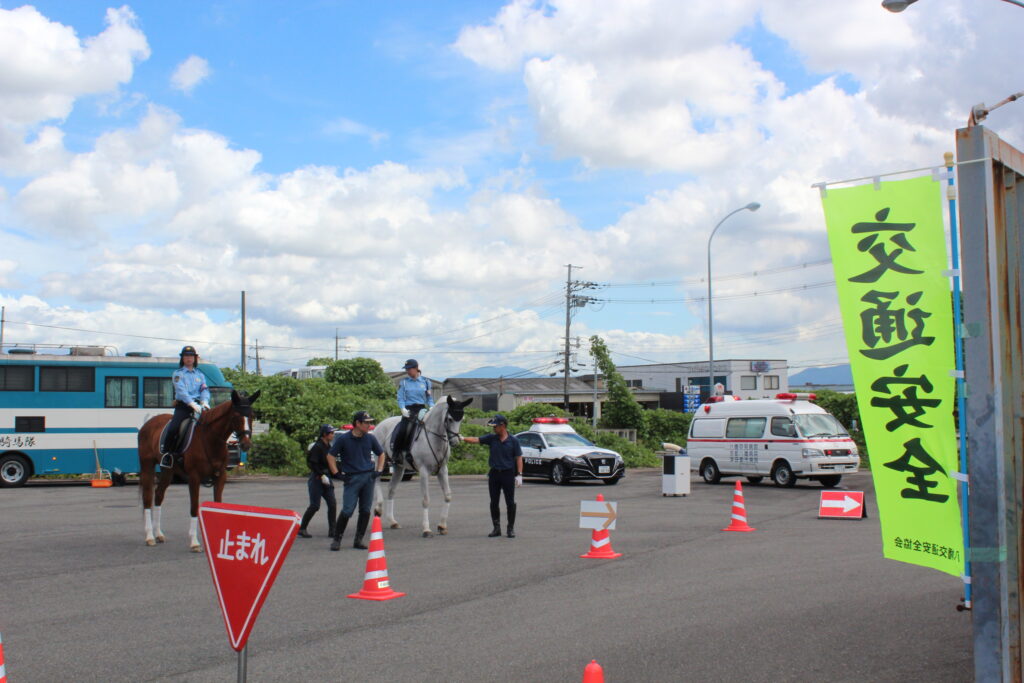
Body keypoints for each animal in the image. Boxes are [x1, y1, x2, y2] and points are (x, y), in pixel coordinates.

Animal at [137, 389, 260, 548]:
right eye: (236, 415)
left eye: (252, 415)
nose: (246, 444)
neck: (210, 439)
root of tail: (148, 424)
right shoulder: (194, 478)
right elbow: (194, 507)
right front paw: (194, 542)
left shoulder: (220, 477)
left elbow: (218, 505)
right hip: (147, 465)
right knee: (147, 498)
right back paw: (150, 536)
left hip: (168, 470)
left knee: (158, 495)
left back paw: (158, 534)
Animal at [374, 397, 473, 536]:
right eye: (449, 419)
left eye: (462, 419)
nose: (455, 442)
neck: (434, 437)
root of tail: (380, 424)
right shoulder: (424, 471)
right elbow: (426, 500)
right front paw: (426, 529)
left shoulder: (443, 470)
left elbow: (448, 496)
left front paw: (442, 526)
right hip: (380, 461)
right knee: (376, 480)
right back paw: (378, 508)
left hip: (399, 468)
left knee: (391, 489)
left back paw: (393, 521)